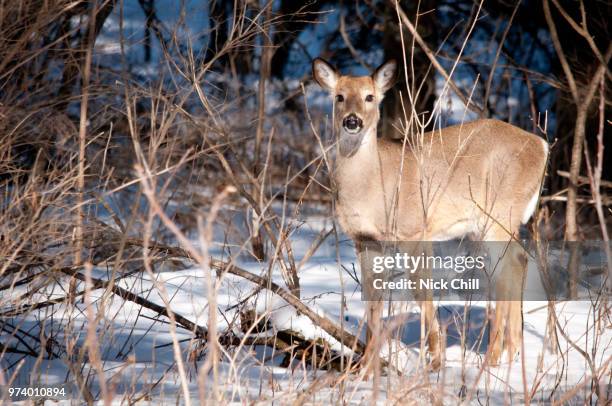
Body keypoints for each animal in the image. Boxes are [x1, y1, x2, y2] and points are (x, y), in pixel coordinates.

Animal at [310, 57, 548, 368]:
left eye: (369, 97)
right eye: (339, 96)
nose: (352, 121)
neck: (372, 185)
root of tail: (543, 146)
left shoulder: (415, 228)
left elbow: (421, 290)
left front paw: (436, 359)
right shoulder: (365, 240)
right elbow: (373, 300)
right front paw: (366, 366)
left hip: (499, 212)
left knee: (508, 268)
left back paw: (492, 358)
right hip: (493, 222)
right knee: (519, 261)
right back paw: (512, 354)